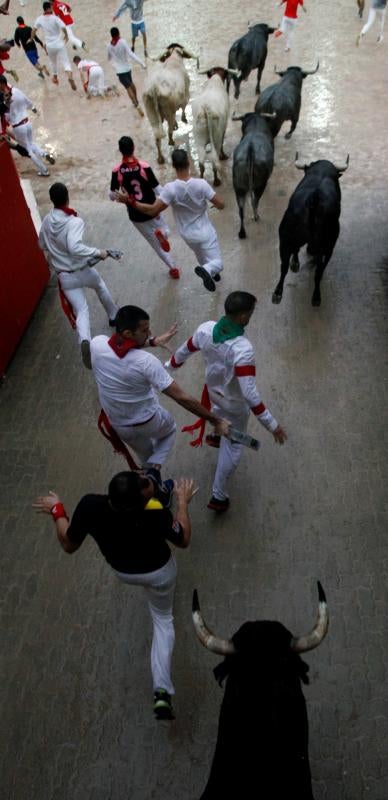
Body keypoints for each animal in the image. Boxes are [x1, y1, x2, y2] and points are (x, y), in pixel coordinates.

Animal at [272, 157, 348, 306]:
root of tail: (314, 198)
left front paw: (295, 263)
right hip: (328, 244)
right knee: (319, 270)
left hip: (285, 239)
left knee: (284, 267)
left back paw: (279, 293)